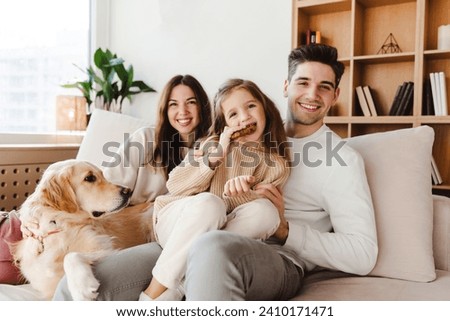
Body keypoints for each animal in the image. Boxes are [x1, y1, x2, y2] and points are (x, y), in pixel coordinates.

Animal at [11, 160, 153, 300]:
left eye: (103, 175)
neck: (59, 223)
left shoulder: (107, 248)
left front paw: (81, 286)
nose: (128, 191)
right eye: (90, 178)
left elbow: (70, 255)